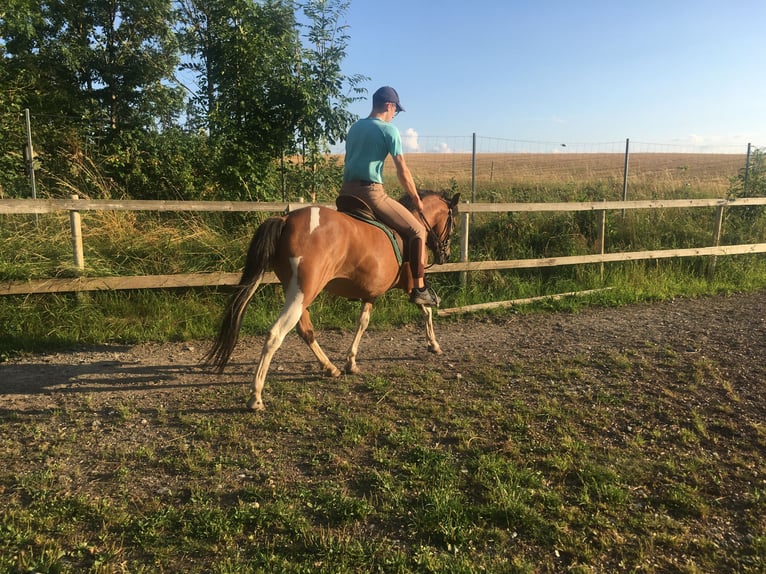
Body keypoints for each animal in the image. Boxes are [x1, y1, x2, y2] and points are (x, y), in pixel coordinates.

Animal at [201, 191, 462, 412]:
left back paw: (329, 368)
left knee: (305, 330)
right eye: (453, 224)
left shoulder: (370, 293)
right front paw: (433, 344)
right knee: (276, 334)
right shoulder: (411, 284)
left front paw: (351, 362)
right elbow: (426, 309)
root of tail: (285, 219)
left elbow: (362, 322)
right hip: (303, 292)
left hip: (297, 292)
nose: (446, 255)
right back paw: (256, 397)